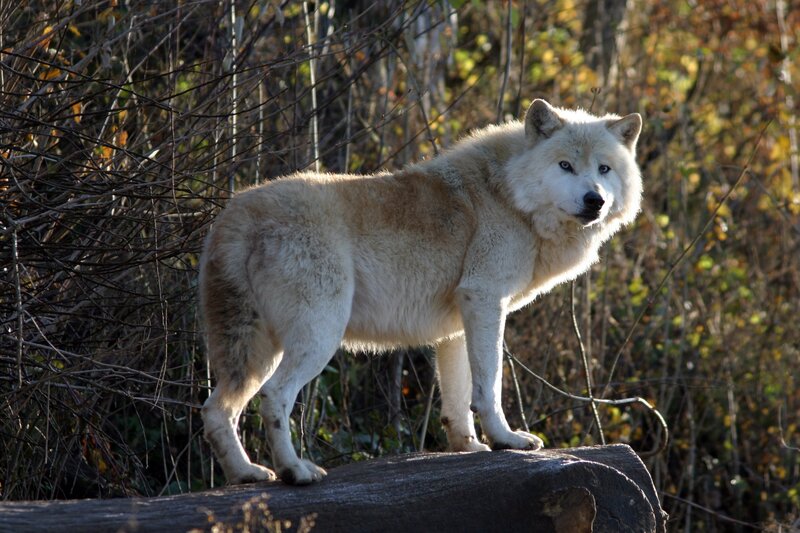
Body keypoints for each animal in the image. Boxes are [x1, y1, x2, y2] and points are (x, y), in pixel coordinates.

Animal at [199, 99, 643, 485]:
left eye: (604, 169)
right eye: (565, 165)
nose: (595, 200)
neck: (508, 195)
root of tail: (236, 213)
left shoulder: (459, 325)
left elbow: (459, 398)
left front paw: (470, 447)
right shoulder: (485, 300)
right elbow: (489, 385)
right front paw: (507, 440)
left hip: (255, 354)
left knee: (215, 411)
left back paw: (246, 473)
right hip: (316, 339)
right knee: (274, 397)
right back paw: (295, 471)